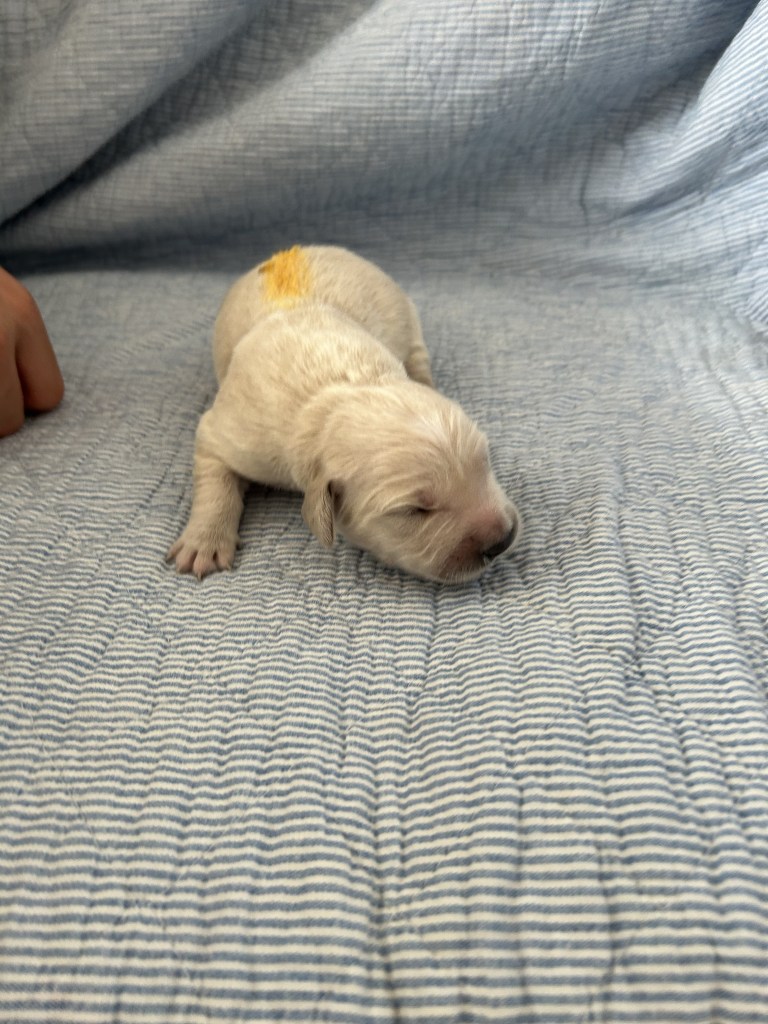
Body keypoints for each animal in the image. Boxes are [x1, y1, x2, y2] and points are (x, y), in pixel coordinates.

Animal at [168, 245, 520, 583]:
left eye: (485, 463)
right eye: (413, 510)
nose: (503, 540)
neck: (336, 391)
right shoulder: (235, 431)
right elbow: (215, 475)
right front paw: (204, 543)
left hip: (406, 316)